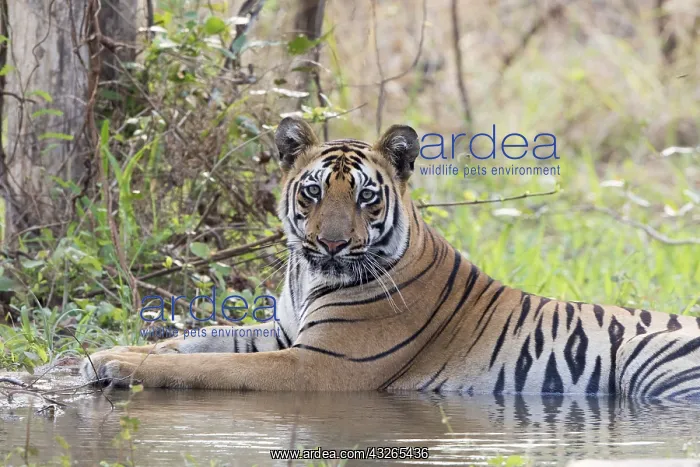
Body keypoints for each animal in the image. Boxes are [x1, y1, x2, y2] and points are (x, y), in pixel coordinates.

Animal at [82, 117, 700, 398]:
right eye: (312, 192)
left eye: (365, 197)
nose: (331, 244)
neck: (308, 275)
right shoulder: (284, 333)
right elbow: (197, 338)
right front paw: (102, 355)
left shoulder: (318, 365)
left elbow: (206, 365)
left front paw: (127, 368)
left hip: (647, 358)